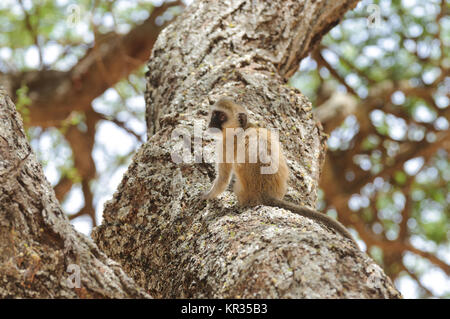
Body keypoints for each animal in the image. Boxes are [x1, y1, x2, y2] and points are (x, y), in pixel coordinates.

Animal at [202, 97, 356, 245]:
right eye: (214, 114)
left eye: (221, 116)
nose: (212, 122)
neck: (243, 128)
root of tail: (266, 195)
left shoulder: (225, 144)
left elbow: (222, 179)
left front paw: (205, 196)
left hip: (242, 191)